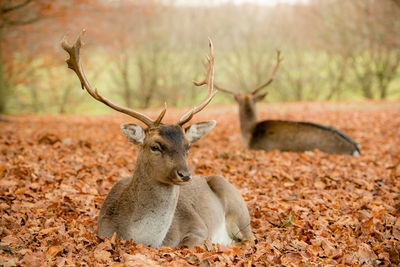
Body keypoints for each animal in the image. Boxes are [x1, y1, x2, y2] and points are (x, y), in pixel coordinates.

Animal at [61, 30, 253, 249]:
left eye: (188, 146)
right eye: (155, 146)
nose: (185, 174)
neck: (148, 240)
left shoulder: (199, 228)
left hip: (239, 209)